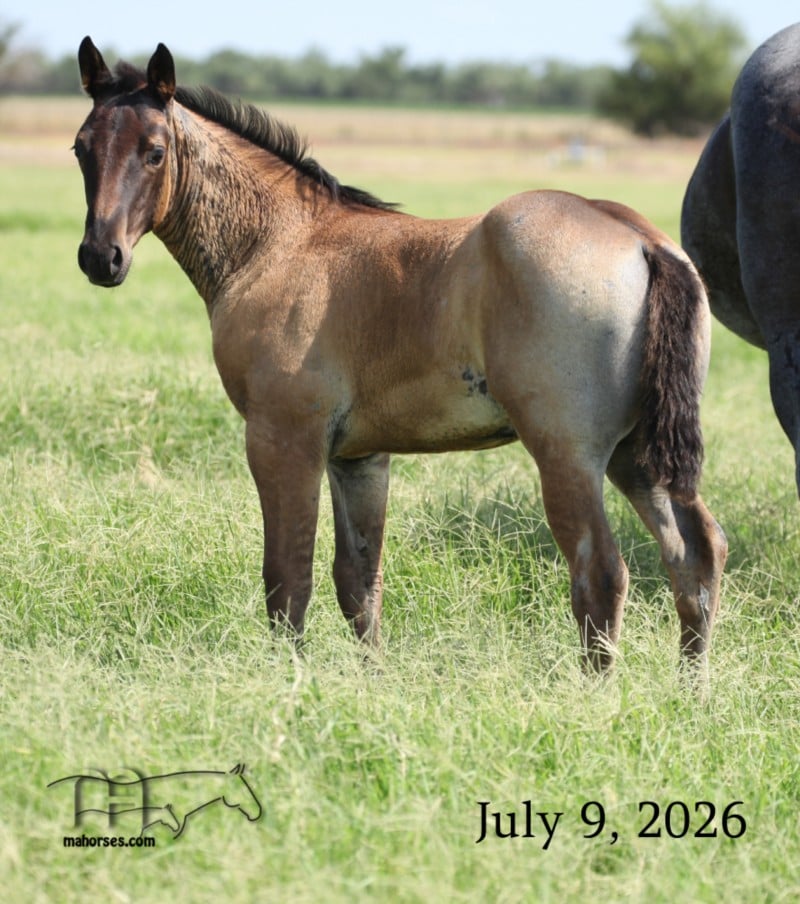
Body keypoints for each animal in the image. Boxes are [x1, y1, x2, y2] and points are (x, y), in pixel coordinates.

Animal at [74, 37, 727, 672]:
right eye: (82, 149)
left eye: (155, 152)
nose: (100, 257)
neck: (278, 243)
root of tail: (642, 239)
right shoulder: (359, 457)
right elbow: (357, 582)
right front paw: (371, 684)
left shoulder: (282, 440)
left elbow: (287, 579)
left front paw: (287, 685)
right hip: (636, 454)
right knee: (695, 555)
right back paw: (689, 691)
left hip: (568, 453)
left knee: (601, 572)